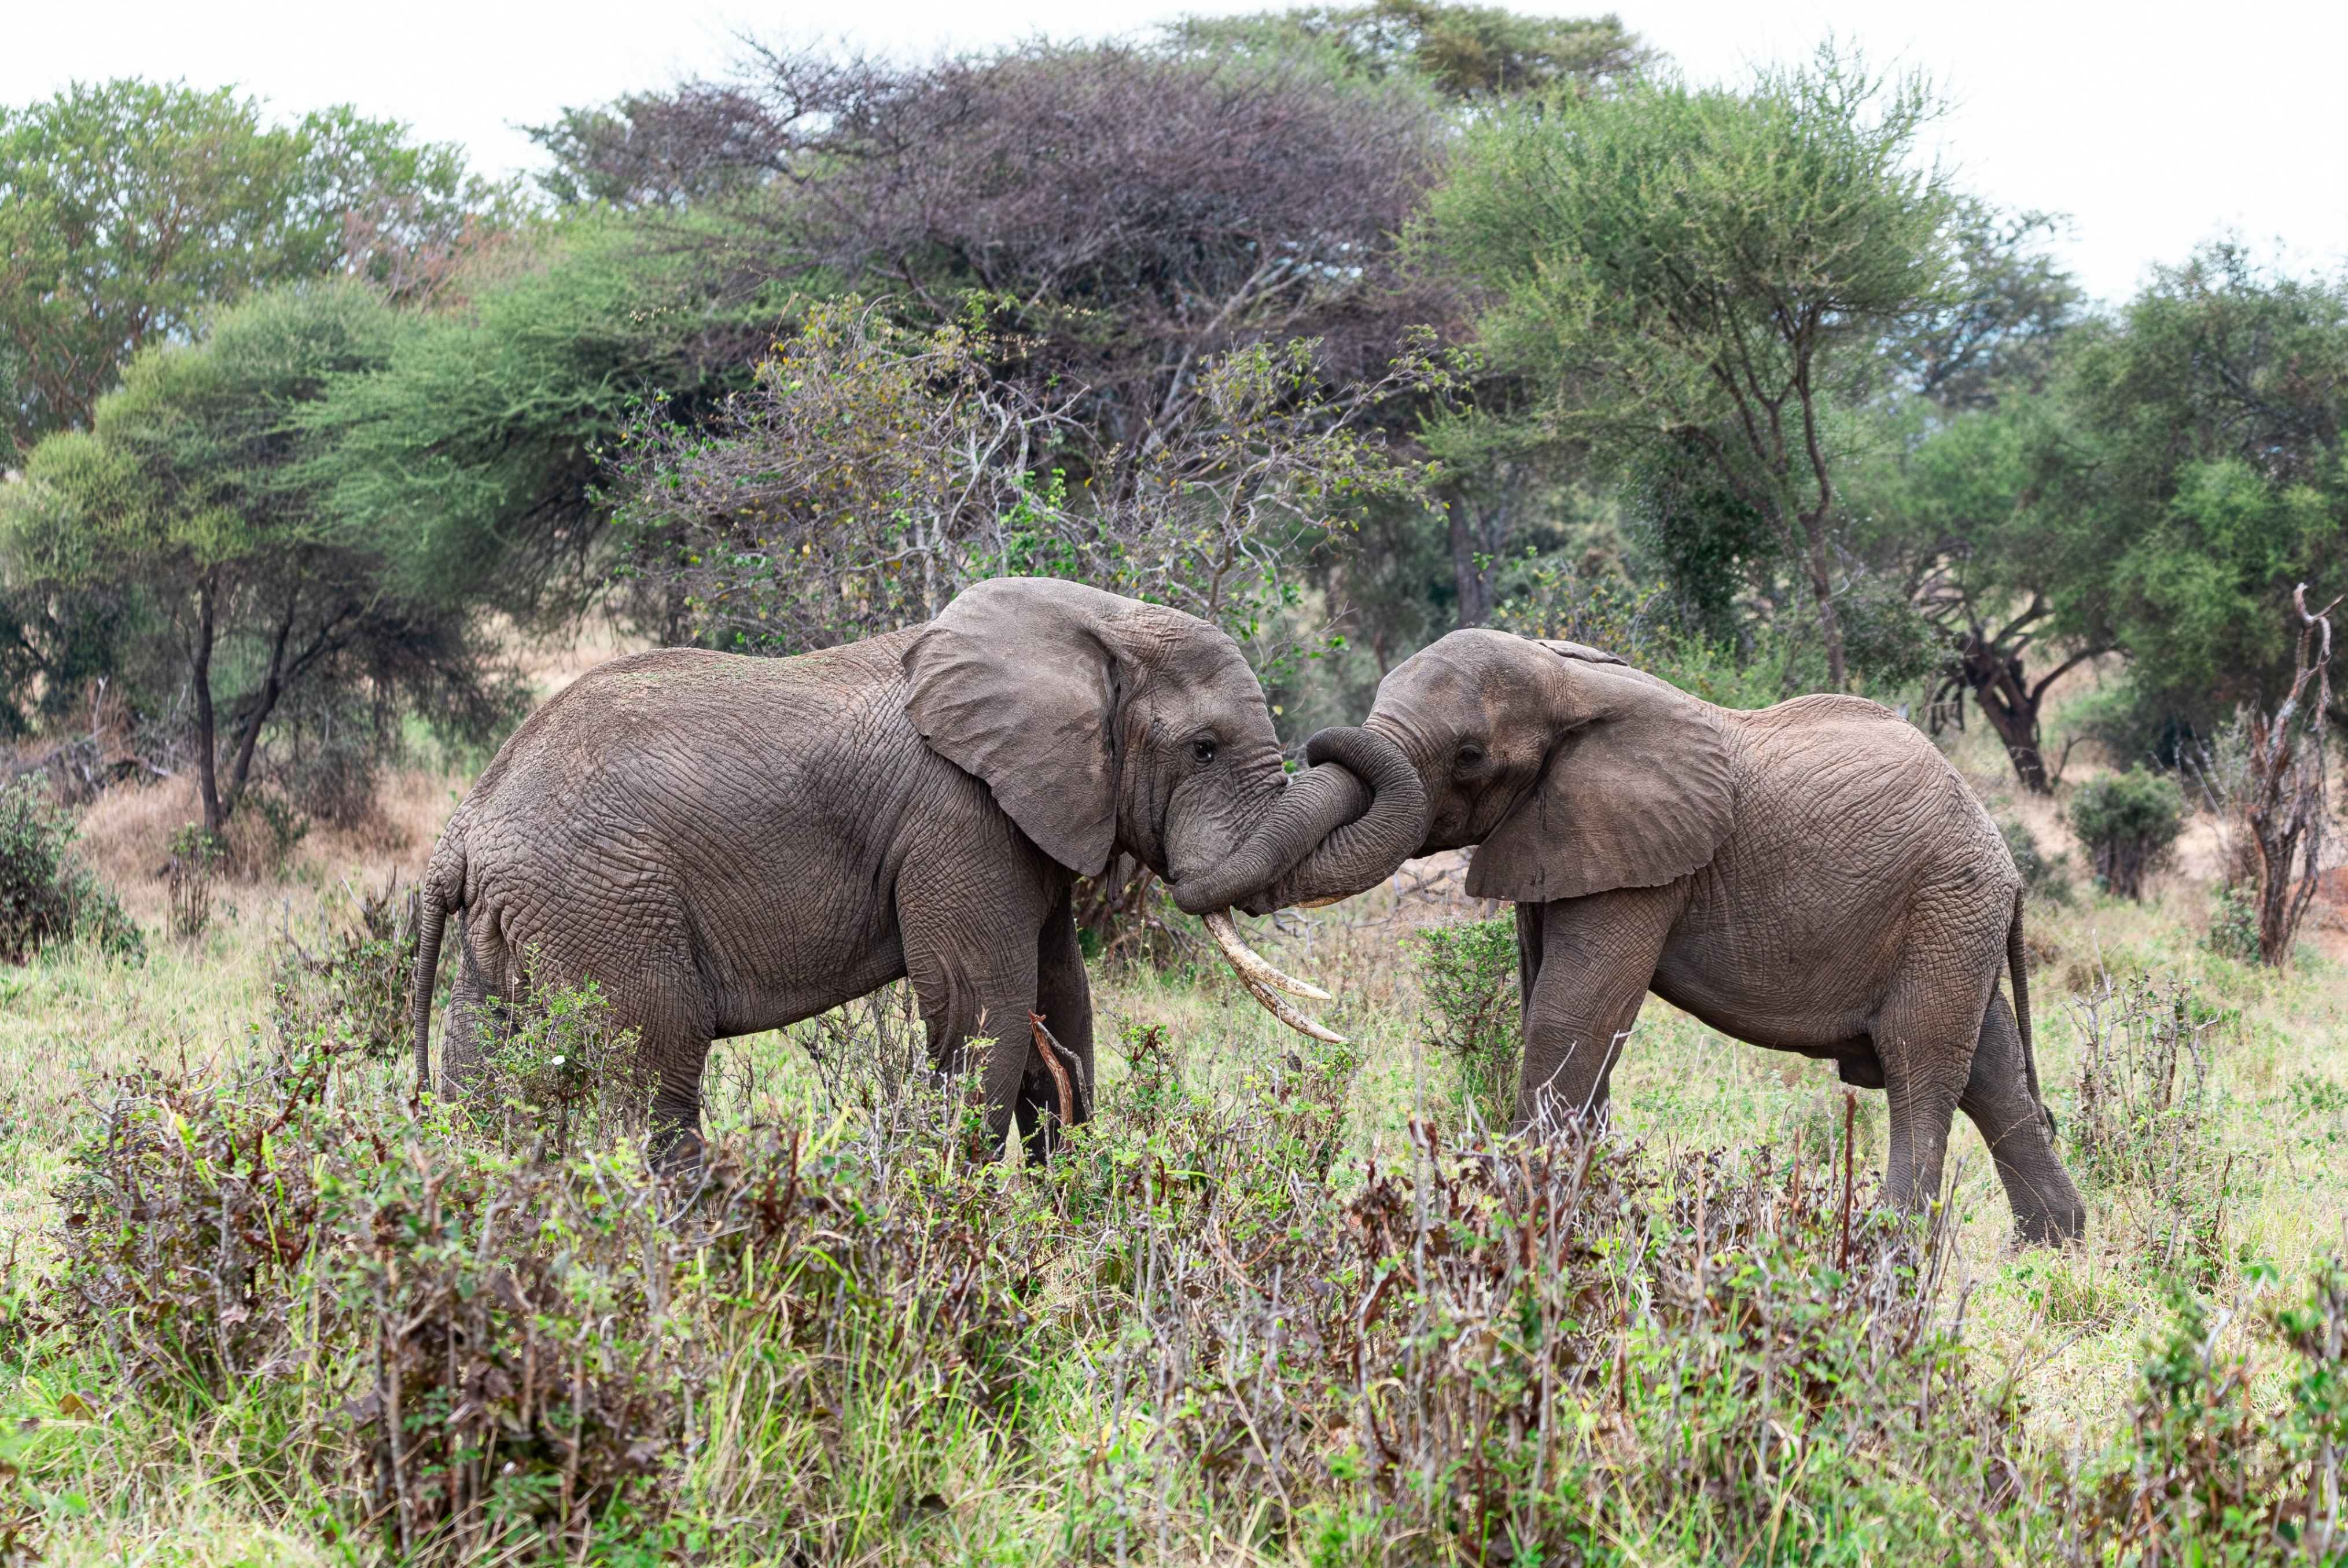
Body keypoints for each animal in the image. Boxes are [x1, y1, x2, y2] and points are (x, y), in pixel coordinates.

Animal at [407, 577, 1426, 1160]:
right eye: (1205, 749)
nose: (1333, 736)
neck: (1090, 623)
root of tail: (460, 831)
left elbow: (1061, 995)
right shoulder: (959, 819)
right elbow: (984, 1006)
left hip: (525, 920)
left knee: (485, 1074)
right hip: (605, 903)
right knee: (654, 1071)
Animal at [1254, 629, 2086, 1244]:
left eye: (1469, 757)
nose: (1312, 742)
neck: (1567, 681)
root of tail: (2002, 854)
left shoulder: (1637, 858)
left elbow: (1570, 1015)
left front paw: (1527, 1223)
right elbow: (1553, 1009)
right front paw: (1581, 1217)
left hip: (1947, 900)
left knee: (1921, 1059)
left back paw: (1890, 1244)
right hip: (1952, 916)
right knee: (1991, 1067)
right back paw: (2050, 1243)